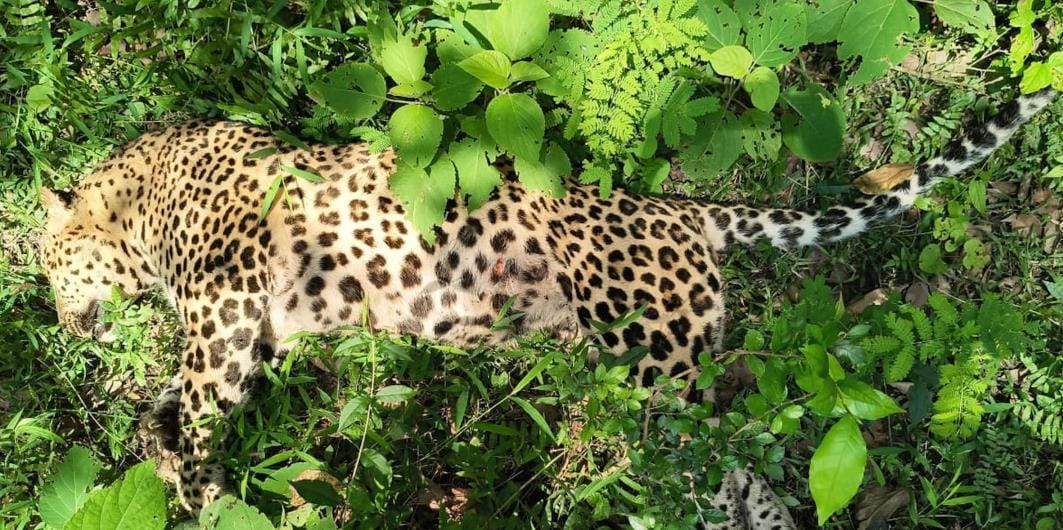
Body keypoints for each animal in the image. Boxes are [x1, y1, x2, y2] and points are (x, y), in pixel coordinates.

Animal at [38, 89, 1056, 529]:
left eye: (46, 265)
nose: (55, 320)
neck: (138, 199)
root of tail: (685, 211)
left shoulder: (225, 306)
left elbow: (189, 410)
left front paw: (196, 492)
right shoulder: (251, 330)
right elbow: (165, 408)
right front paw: (168, 462)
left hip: (650, 372)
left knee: (706, 486)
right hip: (663, 377)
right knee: (744, 478)